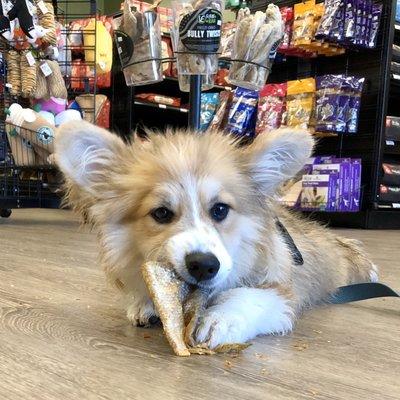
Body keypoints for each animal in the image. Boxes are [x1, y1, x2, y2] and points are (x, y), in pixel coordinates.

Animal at [54, 120, 376, 348]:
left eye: (220, 209)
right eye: (161, 213)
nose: (204, 265)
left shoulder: (282, 293)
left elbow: (249, 296)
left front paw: (220, 319)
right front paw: (144, 305)